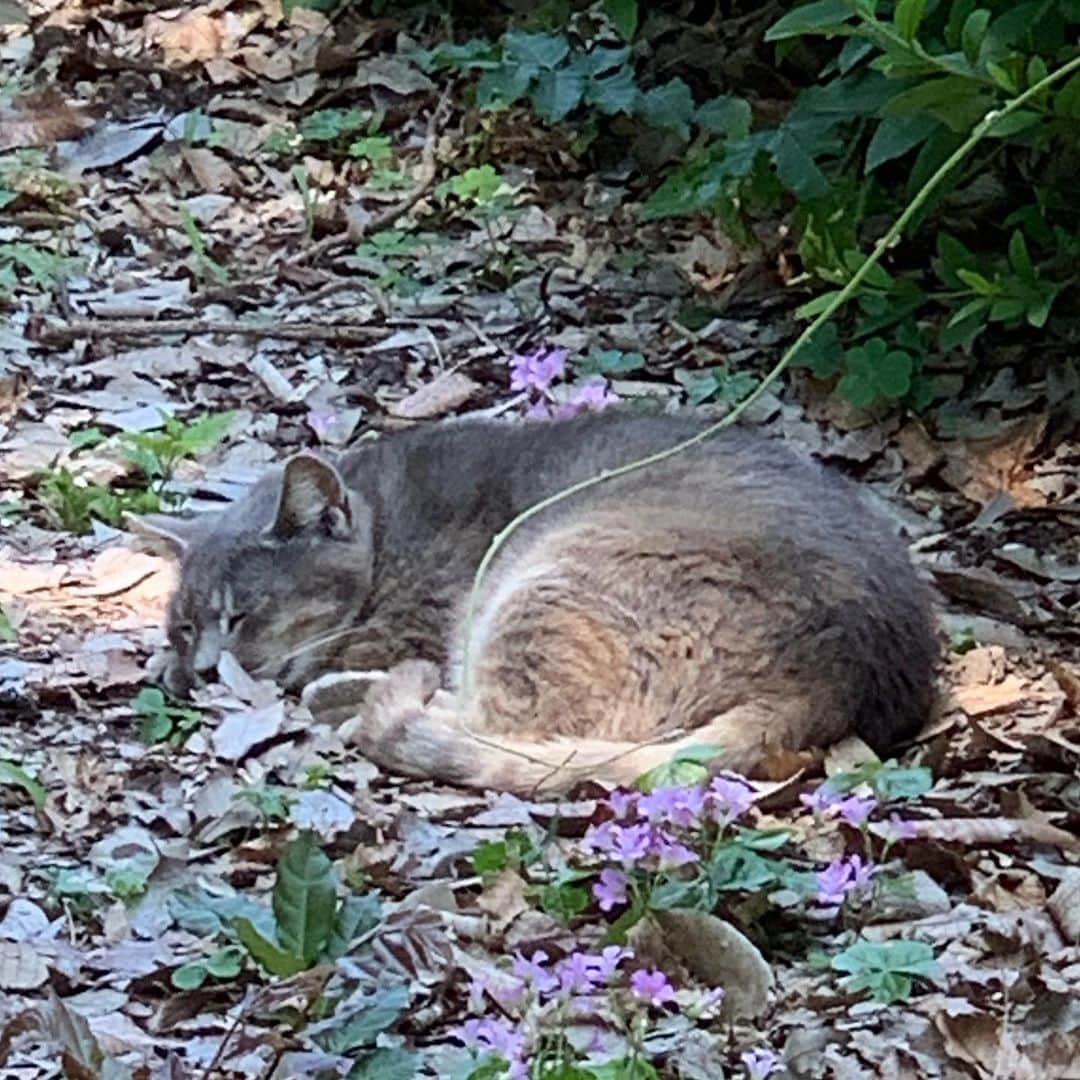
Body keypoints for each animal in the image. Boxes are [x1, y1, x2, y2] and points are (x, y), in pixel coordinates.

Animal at [132, 412, 937, 794]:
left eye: (244, 614)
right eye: (184, 626)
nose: (200, 669)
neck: (389, 523)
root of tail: (844, 671)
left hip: (547, 578)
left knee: (501, 723)